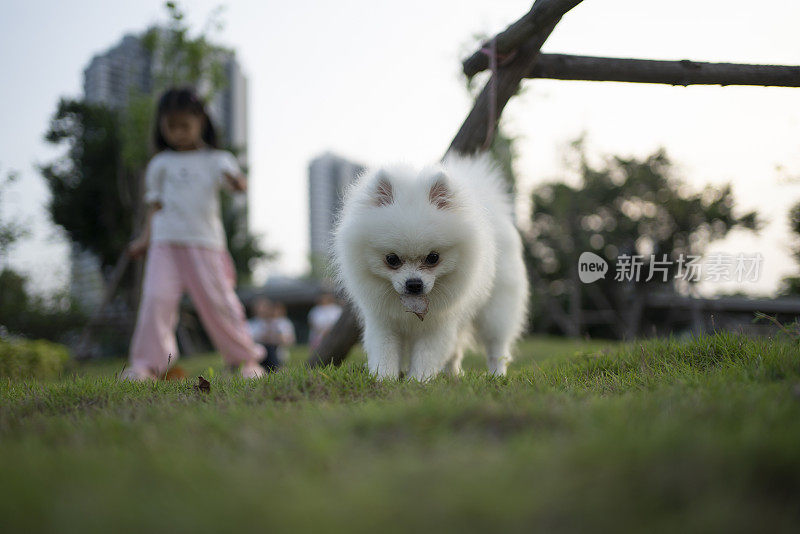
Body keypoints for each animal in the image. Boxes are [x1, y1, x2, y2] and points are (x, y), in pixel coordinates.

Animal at [332, 155, 528, 382]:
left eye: (433, 258)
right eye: (392, 259)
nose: (414, 284)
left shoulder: (438, 323)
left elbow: (426, 354)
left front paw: (417, 380)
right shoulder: (383, 321)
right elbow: (385, 351)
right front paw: (384, 379)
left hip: (496, 310)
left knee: (496, 346)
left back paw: (497, 375)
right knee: (456, 350)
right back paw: (452, 375)